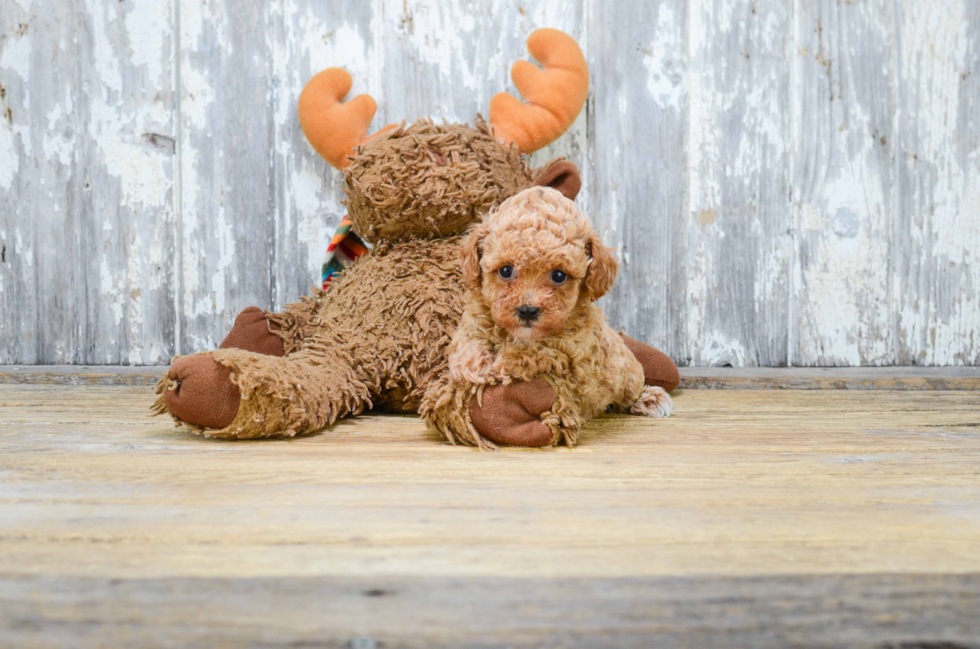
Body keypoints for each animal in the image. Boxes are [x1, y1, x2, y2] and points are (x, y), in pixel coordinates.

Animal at [422, 182, 672, 446]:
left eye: (558, 275)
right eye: (506, 271)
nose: (527, 310)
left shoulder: (572, 355)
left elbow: (535, 350)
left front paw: (500, 364)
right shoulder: (476, 318)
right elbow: (467, 340)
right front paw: (470, 367)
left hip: (626, 372)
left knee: (631, 388)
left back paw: (651, 398)